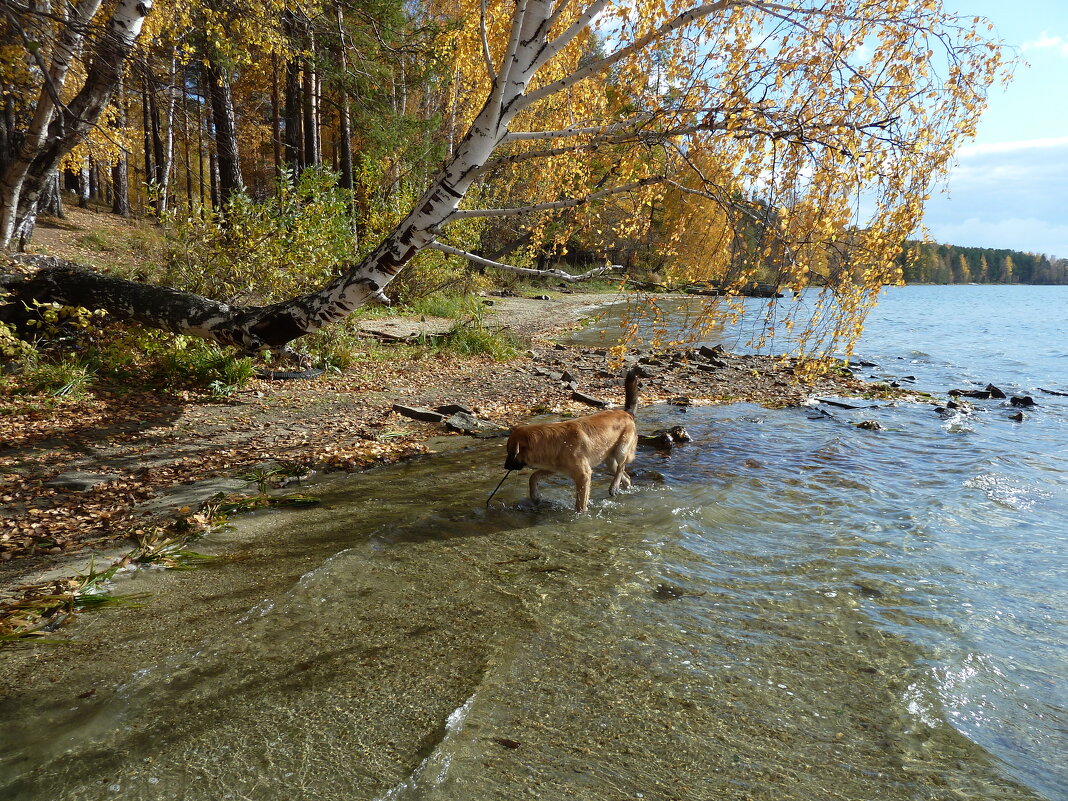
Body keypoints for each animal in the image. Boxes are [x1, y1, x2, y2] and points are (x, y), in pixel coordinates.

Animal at [504, 367, 636, 510]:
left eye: (510, 452)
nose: (505, 467)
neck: (555, 442)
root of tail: (627, 413)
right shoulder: (554, 468)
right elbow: (533, 477)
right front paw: (535, 496)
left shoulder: (584, 475)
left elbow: (580, 505)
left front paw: (581, 513)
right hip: (609, 461)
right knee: (626, 476)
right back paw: (622, 489)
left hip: (621, 450)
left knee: (621, 467)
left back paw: (614, 486)